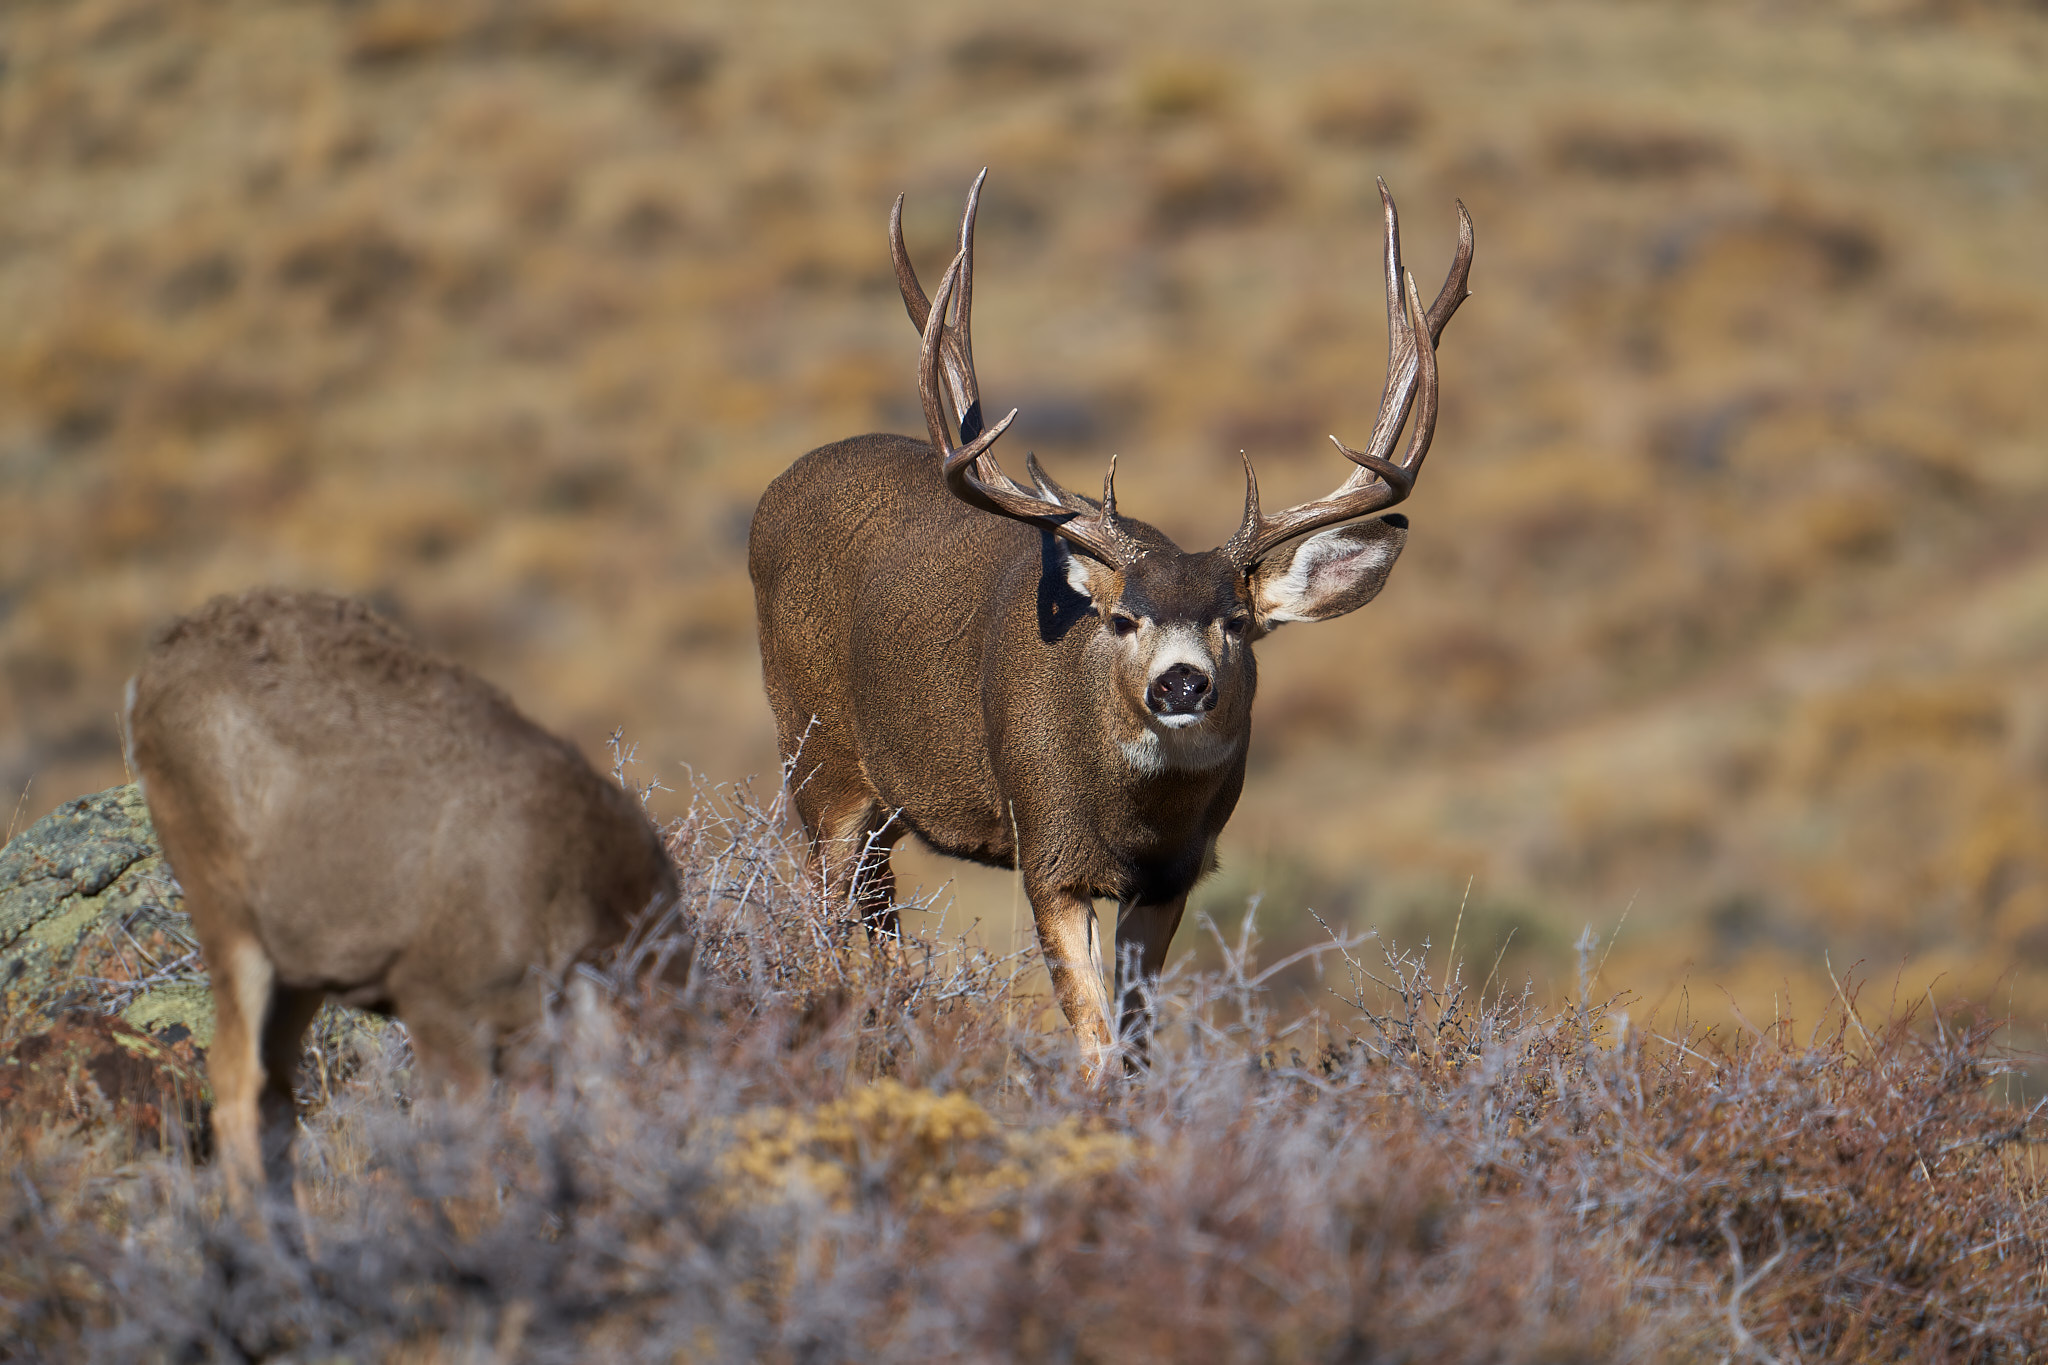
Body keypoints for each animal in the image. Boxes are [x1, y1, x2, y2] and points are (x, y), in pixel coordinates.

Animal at [124, 588, 682, 1207]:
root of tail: (150, 672)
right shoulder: (440, 998)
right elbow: (468, 1175)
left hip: (301, 962)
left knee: (273, 1094)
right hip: (224, 904)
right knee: (233, 1080)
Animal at [750, 170, 1471, 1069]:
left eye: (1238, 621)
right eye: (1124, 618)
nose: (1182, 682)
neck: (1132, 817)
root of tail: (774, 493)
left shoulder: (1171, 876)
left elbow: (1133, 1038)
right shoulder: (1047, 849)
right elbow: (1093, 1041)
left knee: (876, 922)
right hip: (817, 761)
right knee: (822, 926)